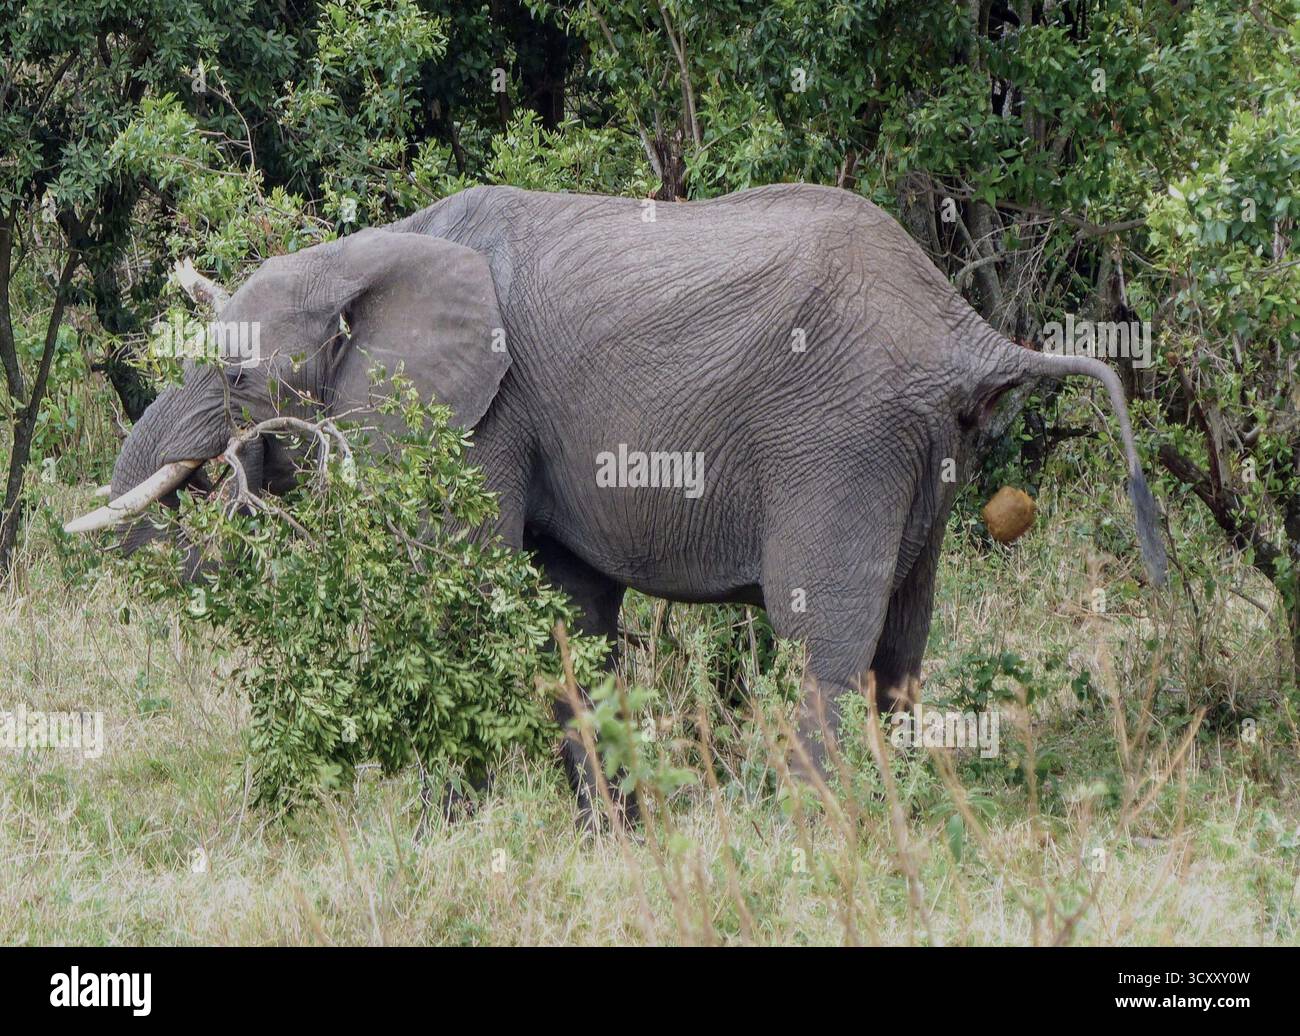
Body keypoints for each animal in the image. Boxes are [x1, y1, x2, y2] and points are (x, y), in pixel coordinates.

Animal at [66, 183, 1167, 816]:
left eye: (239, 379)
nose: (233, 471)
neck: (370, 250)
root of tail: (960, 329)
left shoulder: (485, 414)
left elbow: (464, 588)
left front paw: (443, 822)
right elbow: (571, 613)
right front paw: (610, 827)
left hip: (841, 432)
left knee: (824, 627)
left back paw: (806, 828)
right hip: (927, 451)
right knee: (903, 632)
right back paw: (891, 817)